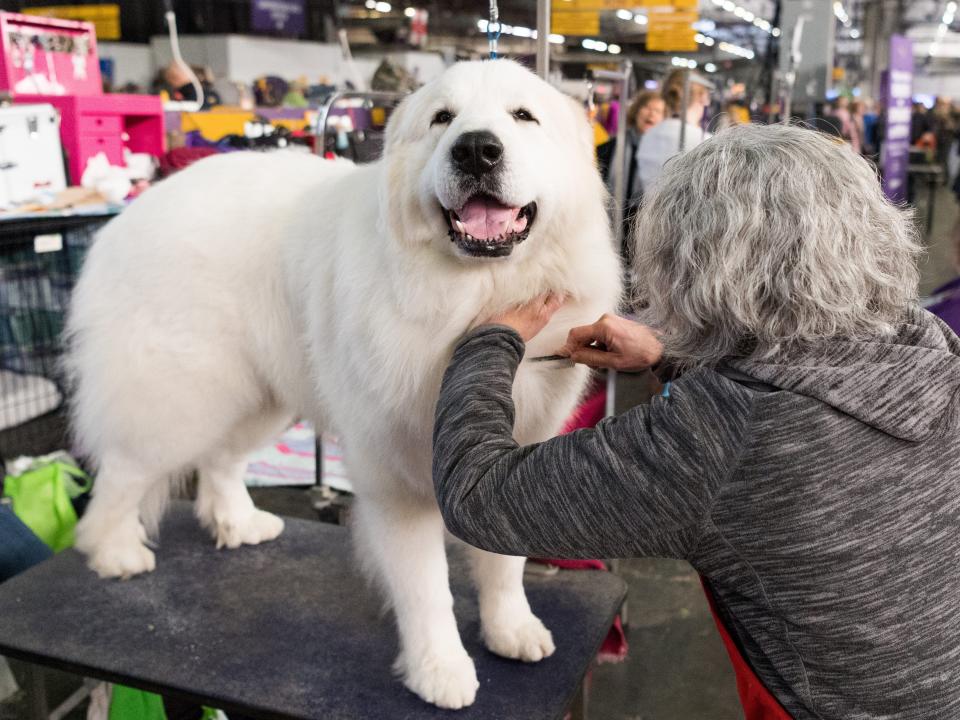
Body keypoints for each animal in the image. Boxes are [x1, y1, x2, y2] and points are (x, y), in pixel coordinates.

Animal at [67, 57, 624, 708]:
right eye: (442, 118)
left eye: (522, 116)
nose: (476, 150)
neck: (469, 298)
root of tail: (130, 215)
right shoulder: (398, 483)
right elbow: (426, 589)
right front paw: (440, 670)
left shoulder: (509, 456)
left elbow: (502, 564)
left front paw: (511, 628)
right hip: (183, 397)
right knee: (123, 473)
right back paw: (113, 552)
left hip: (258, 396)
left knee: (220, 462)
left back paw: (239, 523)